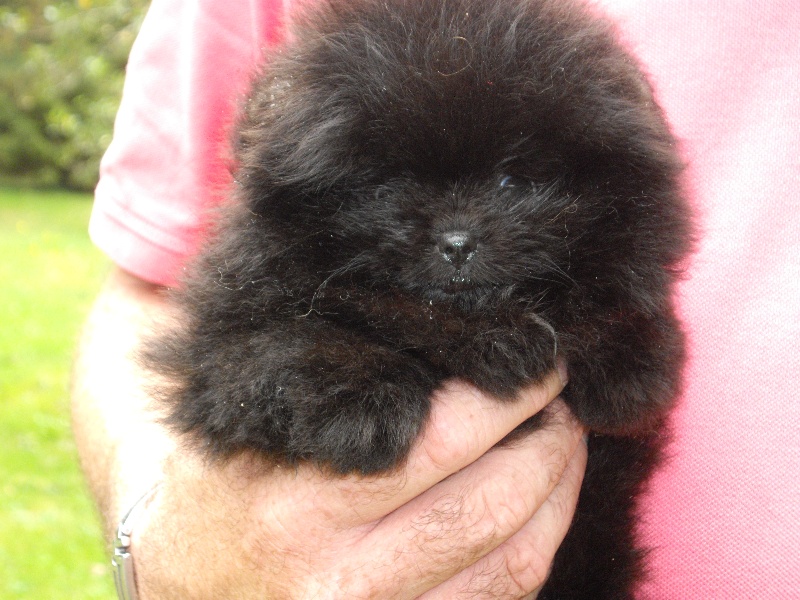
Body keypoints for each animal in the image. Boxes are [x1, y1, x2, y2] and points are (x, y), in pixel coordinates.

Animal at [147, 0, 692, 592]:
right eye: (389, 184)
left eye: (512, 181)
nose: (457, 241)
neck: (475, 328)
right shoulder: (218, 347)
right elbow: (279, 340)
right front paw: (360, 398)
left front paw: (627, 358)